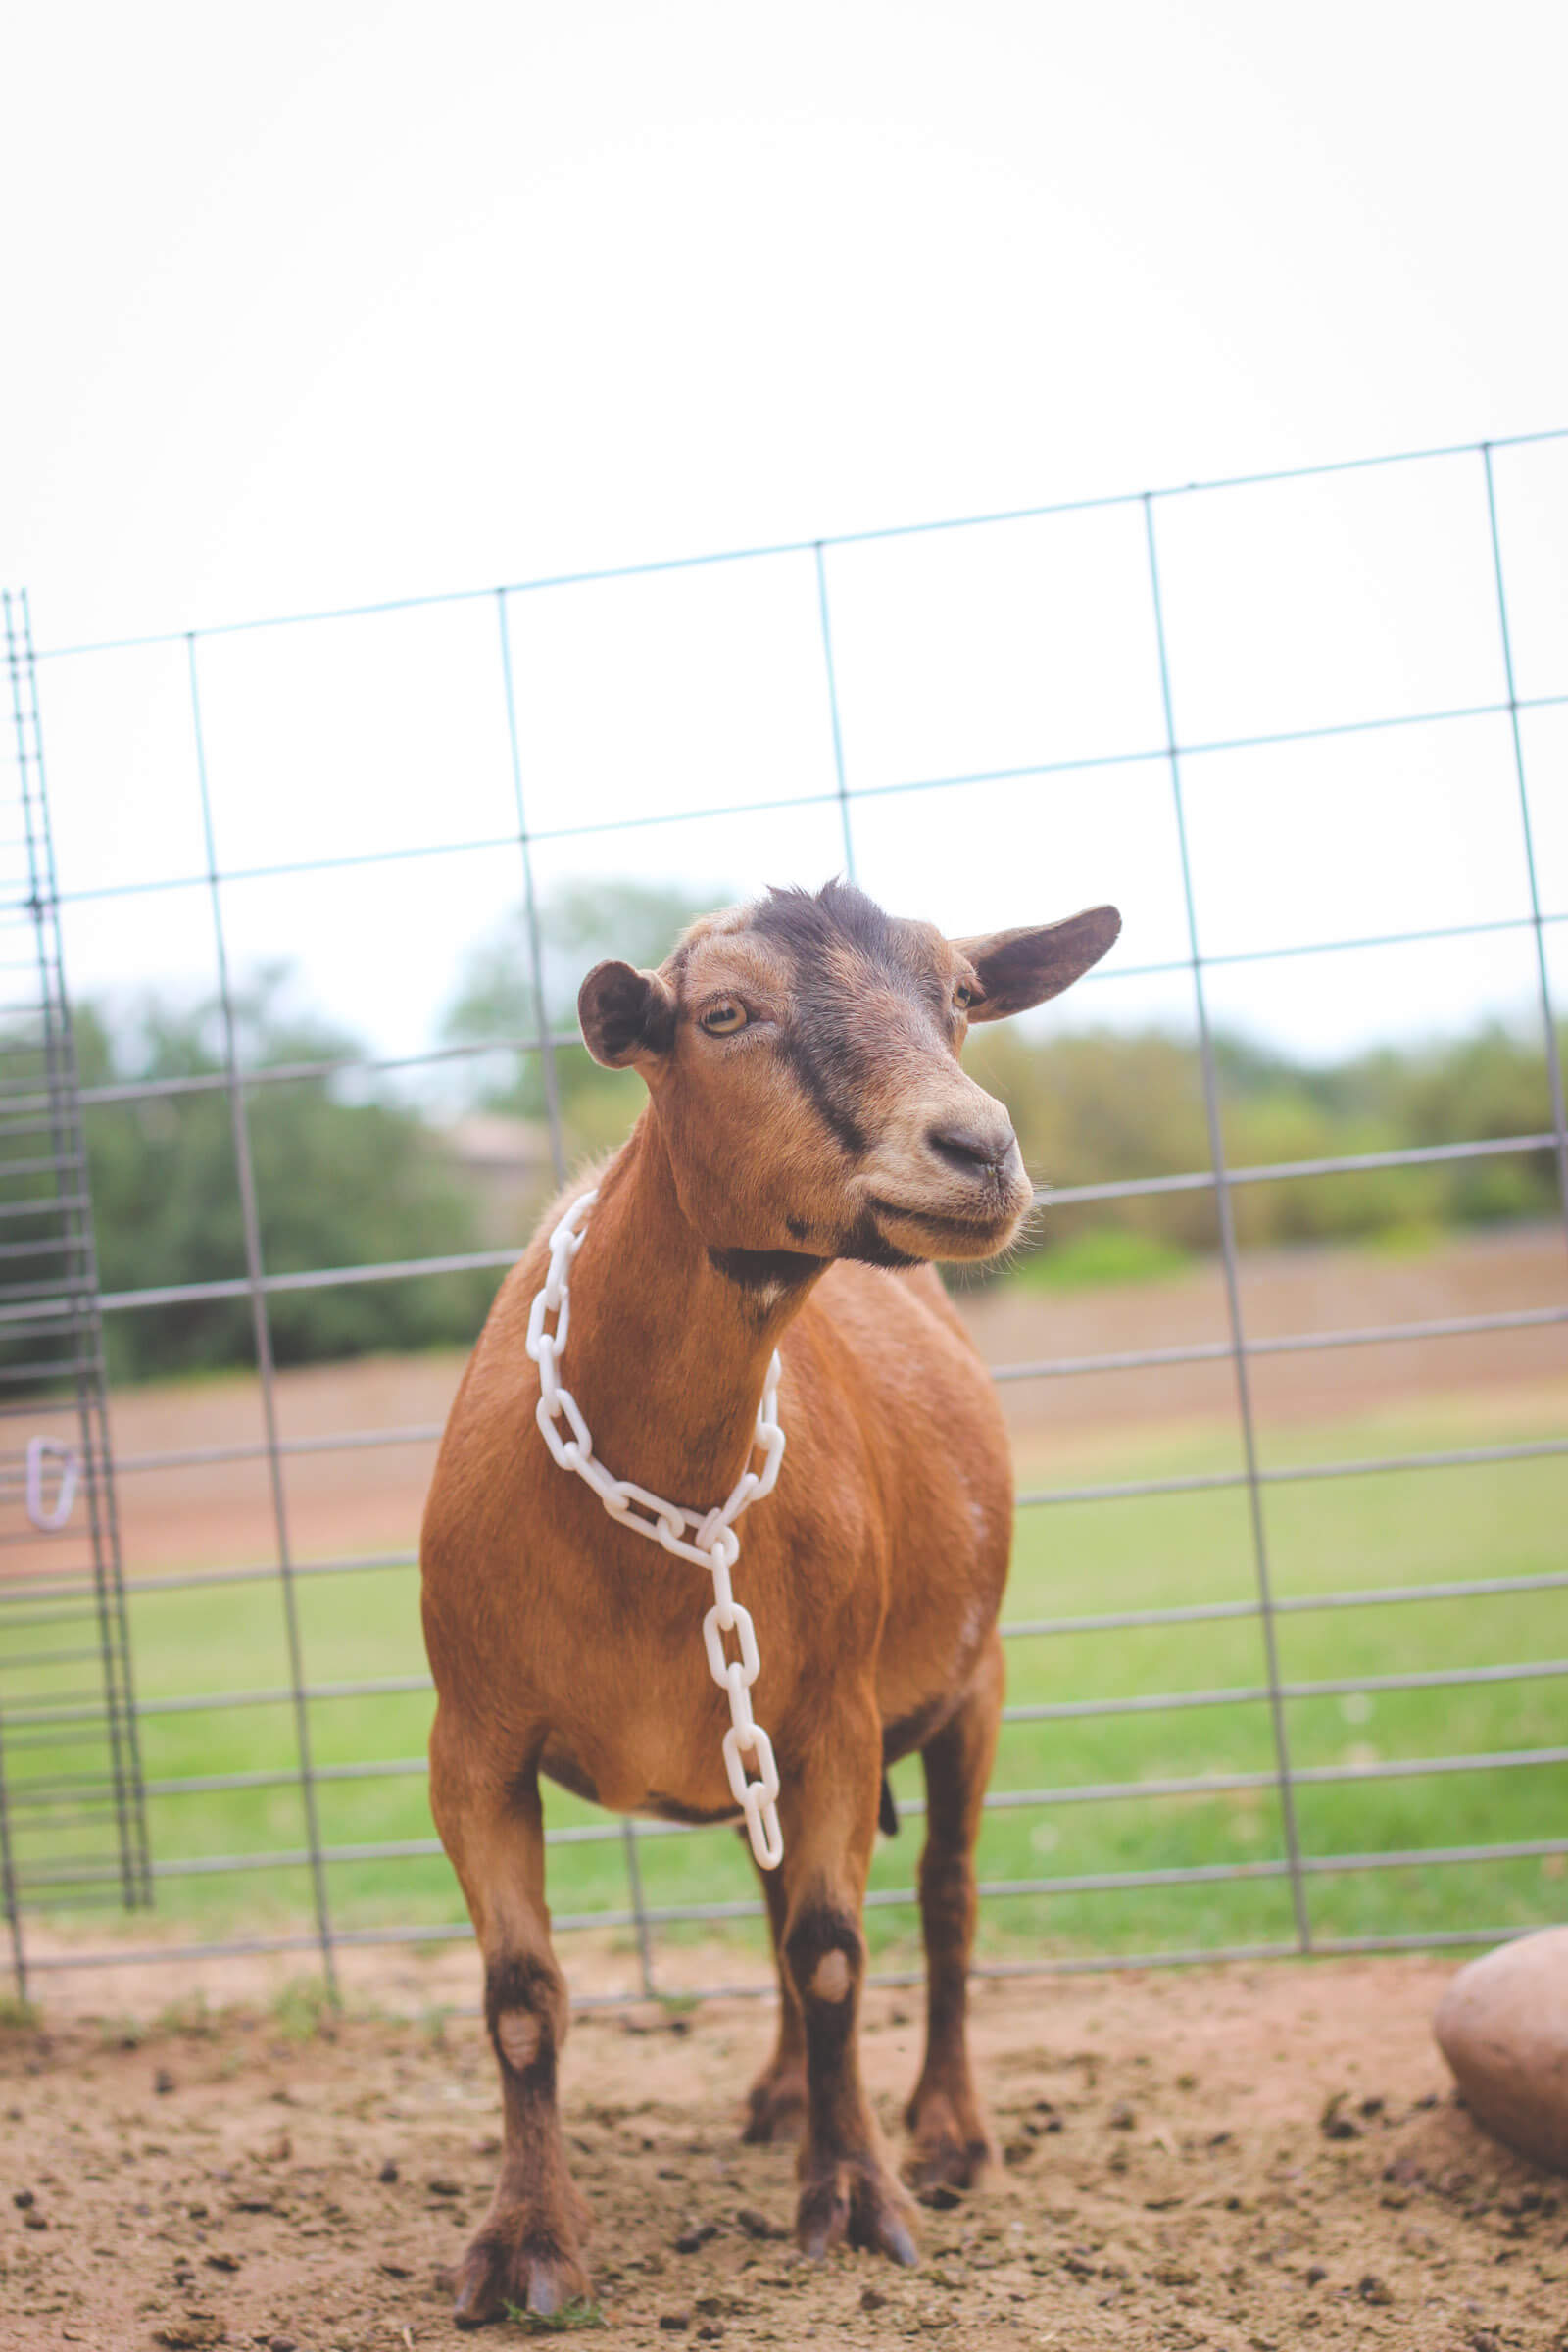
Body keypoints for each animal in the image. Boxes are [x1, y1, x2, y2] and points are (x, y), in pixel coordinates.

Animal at [422, 879, 1123, 2314]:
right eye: (724, 1015)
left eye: (960, 996)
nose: (978, 1149)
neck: (656, 1517)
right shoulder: (472, 1744)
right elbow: (522, 1994)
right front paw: (524, 2244)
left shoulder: (837, 1718)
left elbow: (837, 1950)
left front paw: (855, 2199)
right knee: (780, 1901)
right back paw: (786, 2095)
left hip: (972, 1685)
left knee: (947, 1901)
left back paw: (948, 2134)